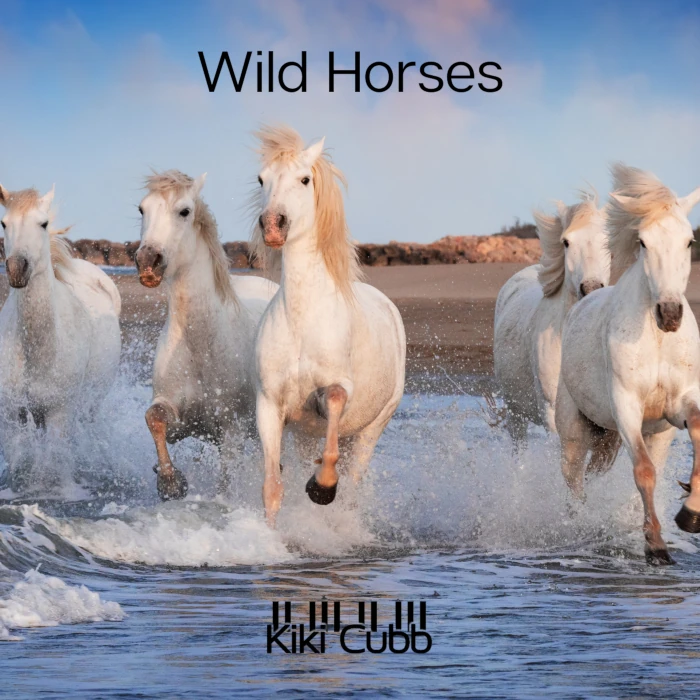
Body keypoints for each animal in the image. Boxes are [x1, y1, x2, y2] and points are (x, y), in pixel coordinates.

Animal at [0, 184, 121, 491]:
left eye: (43, 223)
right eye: (4, 223)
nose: (17, 268)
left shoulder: (60, 413)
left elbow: (56, 461)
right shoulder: (12, 413)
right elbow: (19, 461)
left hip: (89, 405)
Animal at [135, 170, 278, 500]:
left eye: (184, 211)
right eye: (142, 209)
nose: (148, 262)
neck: (201, 344)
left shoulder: (231, 431)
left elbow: (225, 482)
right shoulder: (181, 420)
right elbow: (154, 419)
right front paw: (170, 482)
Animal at [251, 125, 406, 527]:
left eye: (305, 179)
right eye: (262, 179)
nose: (272, 225)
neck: (303, 319)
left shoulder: (337, 390)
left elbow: (334, 403)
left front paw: (322, 487)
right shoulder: (270, 405)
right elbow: (271, 487)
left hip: (372, 430)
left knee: (353, 482)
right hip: (305, 434)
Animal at [555, 164, 700, 565]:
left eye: (689, 241)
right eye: (644, 243)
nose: (670, 314)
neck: (657, 340)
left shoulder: (681, 404)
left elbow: (697, 431)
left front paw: (690, 513)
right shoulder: (627, 406)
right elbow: (643, 472)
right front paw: (656, 547)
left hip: (634, 437)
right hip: (575, 432)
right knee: (575, 480)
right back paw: (580, 528)